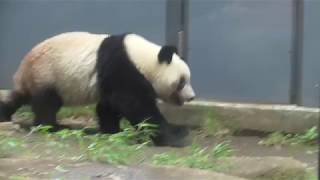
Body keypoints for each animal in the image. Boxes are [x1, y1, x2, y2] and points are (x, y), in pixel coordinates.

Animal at [0, 31, 195, 147]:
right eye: (182, 81)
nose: (192, 97)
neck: (143, 58)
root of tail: (23, 67)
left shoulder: (111, 78)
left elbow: (109, 105)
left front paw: (112, 130)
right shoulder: (121, 66)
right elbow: (136, 105)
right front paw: (175, 137)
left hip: (38, 78)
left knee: (20, 97)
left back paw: (5, 115)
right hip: (47, 73)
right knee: (46, 103)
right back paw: (53, 126)